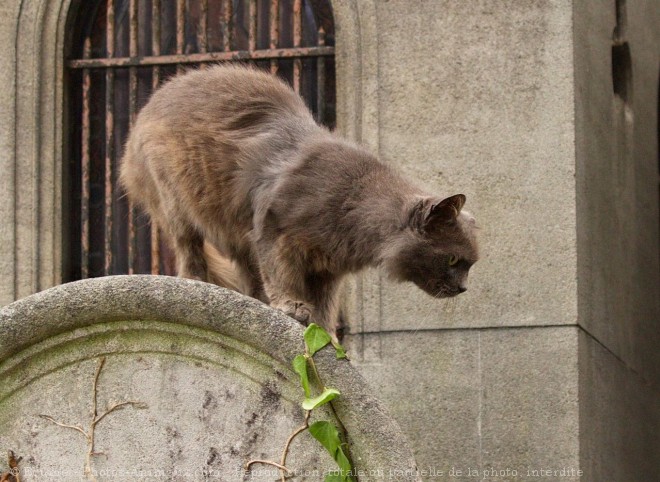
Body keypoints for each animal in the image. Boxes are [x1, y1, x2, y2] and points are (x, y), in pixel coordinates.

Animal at [120, 63, 480, 336]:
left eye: (469, 265)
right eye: (452, 259)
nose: (464, 288)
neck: (352, 208)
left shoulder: (329, 267)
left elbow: (325, 304)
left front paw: (325, 335)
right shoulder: (273, 232)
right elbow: (282, 275)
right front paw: (292, 307)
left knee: (247, 274)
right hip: (177, 204)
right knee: (189, 253)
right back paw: (198, 284)